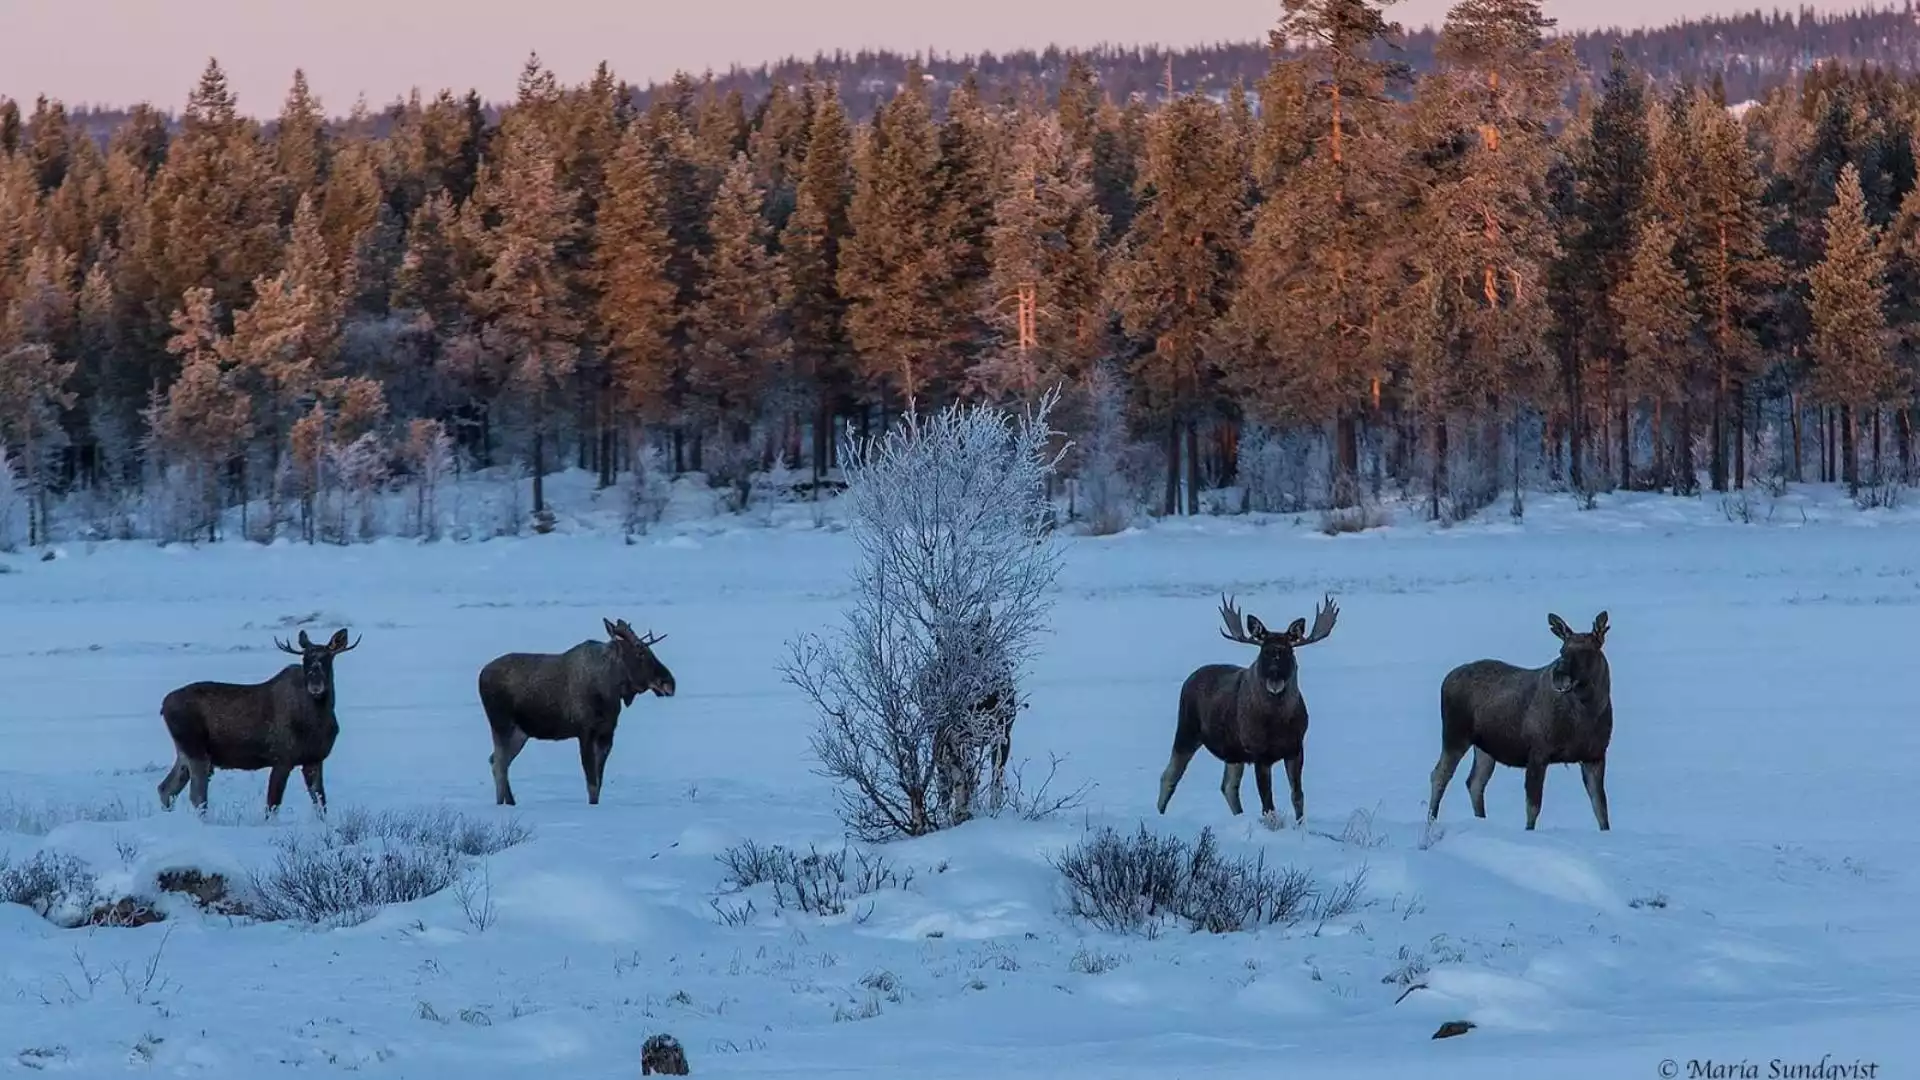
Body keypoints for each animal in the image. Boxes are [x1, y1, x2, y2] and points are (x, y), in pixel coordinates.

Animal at [157, 626, 360, 810]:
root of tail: (163, 706)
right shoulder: (282, 759)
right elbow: (272, 805)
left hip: (184, 752)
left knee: (166, 788)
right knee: (197, 797)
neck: (318, 720)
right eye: (305, 659)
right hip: (196, 751)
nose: (315, 685)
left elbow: (321, 804)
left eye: (327, 658)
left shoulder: (315, 760)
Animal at [478, 618, 675, 803]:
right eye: (640, 652)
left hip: (520, 732)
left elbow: (598, 783)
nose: (669, 683)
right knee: (499, 765)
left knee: (496, 760)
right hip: (501, 724)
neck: (610, 689)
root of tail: (480, 675)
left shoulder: (606, 734)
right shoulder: (585, 733)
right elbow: (592, 784)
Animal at [1159, 591, 1344, 818]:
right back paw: (1160, 814)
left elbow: (1298, 797)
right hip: (1187, 728)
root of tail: (1189, 678)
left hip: (1232, 750)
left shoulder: (1296, 748)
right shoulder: (1259, 753)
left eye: (1287, 652)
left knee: (1228, 786)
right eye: (1264, 651)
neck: (1279, 722)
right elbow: (1268, 804)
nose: (1274, 673)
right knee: (1169, 775)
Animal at [1428, 611, 1620, 826]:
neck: (1588, 712)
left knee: (1475, 782)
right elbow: (1533, 808)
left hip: (1485, 747)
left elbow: (1601, 809)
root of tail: (1446, 679)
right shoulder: (1538, 752)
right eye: (1562, 650)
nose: (1559, 676)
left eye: (1588, 651)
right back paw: (1431, 820)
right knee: (1439, 775)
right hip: (1455, 735)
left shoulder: (1595, 756)